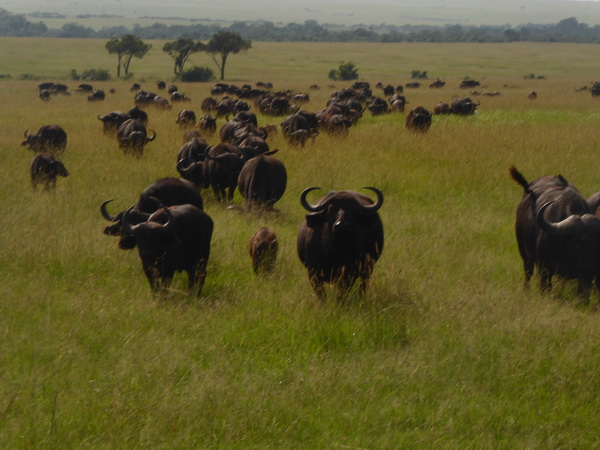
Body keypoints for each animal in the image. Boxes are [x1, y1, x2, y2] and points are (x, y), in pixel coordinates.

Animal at [508, 164, 600, 298]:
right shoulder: (544, 268)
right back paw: (526, 290)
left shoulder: (586, 277)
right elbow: (545, 287)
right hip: (524, 252)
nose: (589, 265)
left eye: (596, 245)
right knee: (528, 272)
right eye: (576, 244)